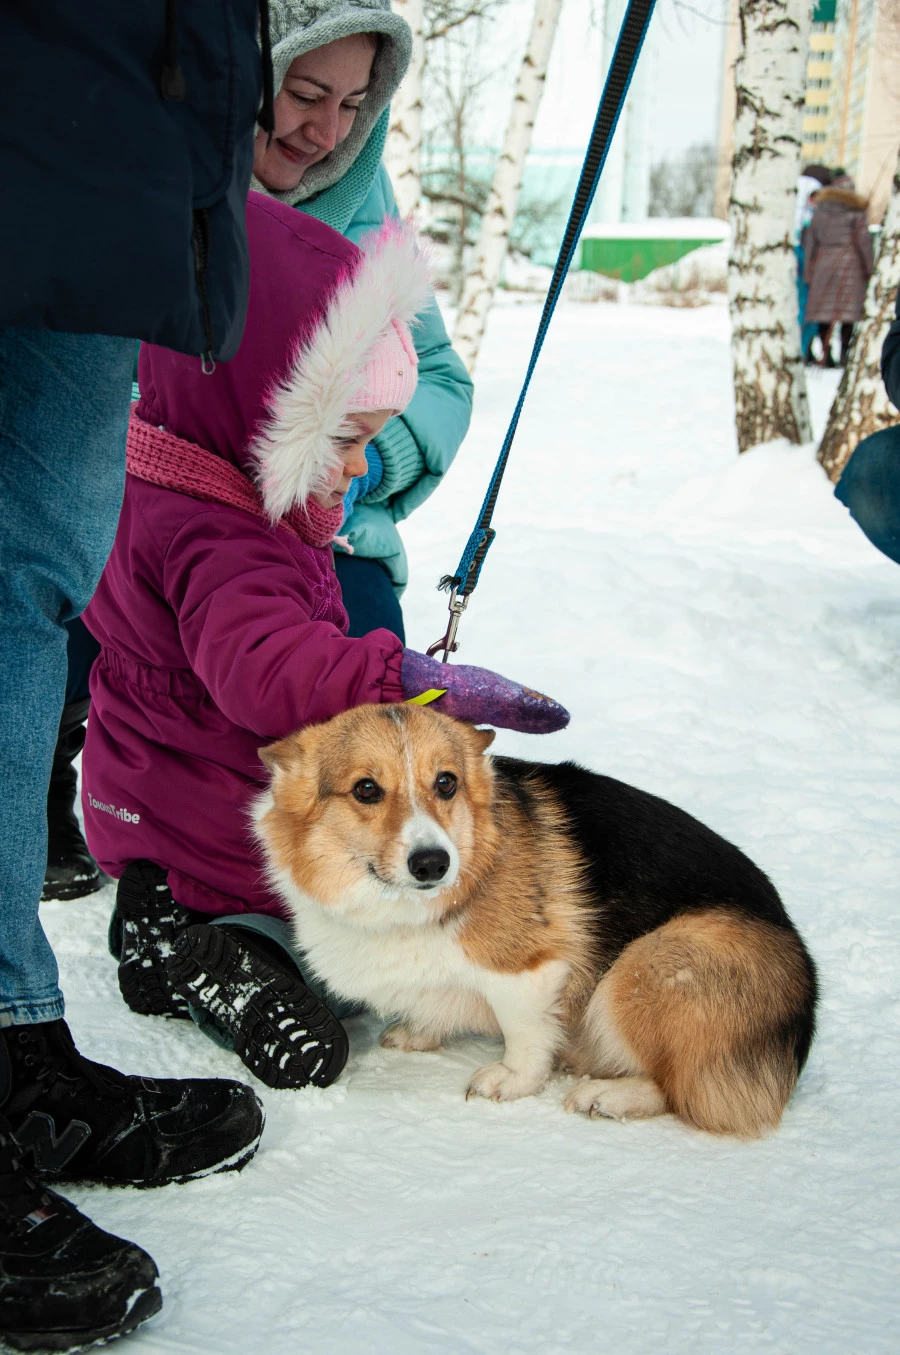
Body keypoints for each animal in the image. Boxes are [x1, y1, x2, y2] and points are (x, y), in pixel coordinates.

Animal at [250, 704, 813, 1138]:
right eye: (366, 789)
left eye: (446, 783)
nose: (434, 863)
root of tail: (803, 1024)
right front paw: (421, 1031)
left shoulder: (527, 971)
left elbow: (524, 1033)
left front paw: (513, 1080)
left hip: (649, 962)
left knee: (680, 1090)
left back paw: (608, 1095)